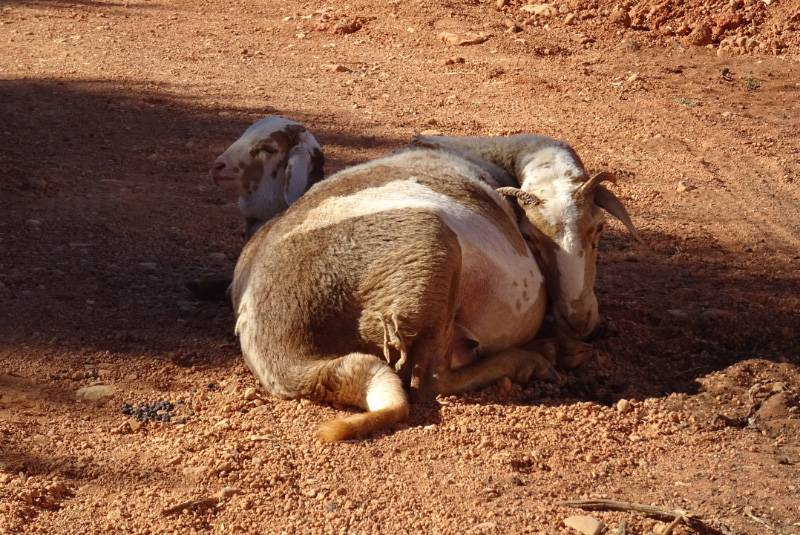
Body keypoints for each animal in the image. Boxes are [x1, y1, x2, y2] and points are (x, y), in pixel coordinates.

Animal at [230, 130, 641, 442]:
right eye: (531, 239)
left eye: (599, 230)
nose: (579, 319)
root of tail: (282, 351)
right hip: (428, 263)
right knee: (429, 380)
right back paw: (539, 359)